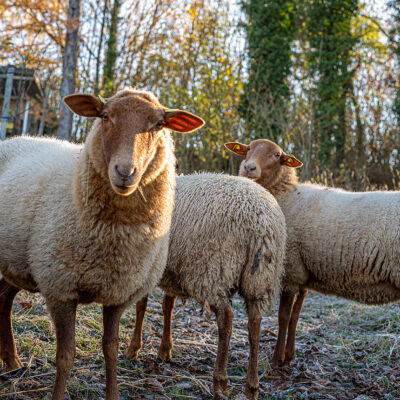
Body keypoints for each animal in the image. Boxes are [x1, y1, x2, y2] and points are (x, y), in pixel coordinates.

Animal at [0, 87, 205, 400]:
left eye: (158, 124)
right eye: (105, 116)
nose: (125, 172)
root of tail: (13, 139)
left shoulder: (119, 293)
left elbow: (111, 350)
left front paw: (113, 394)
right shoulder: (60, 287)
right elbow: (66, 356)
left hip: (20, 263)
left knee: (3, 297)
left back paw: (12, 362)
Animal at [125, 173, 284, 400]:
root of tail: (261, 221)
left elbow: (142, 305)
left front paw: (133, 349)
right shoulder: (172, 272)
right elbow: (167, 306)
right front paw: (165, 350)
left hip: (213, 270)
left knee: (226, 318)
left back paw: (220, 382)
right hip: (261, 278)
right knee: (254, 322)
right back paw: (251, 386)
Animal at [225, 139, 400, 368]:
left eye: (276, 155)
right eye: (247, 148)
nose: (249, 167)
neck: (285, 195)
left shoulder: (290, 269)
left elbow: (283, 316)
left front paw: (276, 359)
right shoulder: (303, 274)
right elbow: (295, 316)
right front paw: (289, 356)